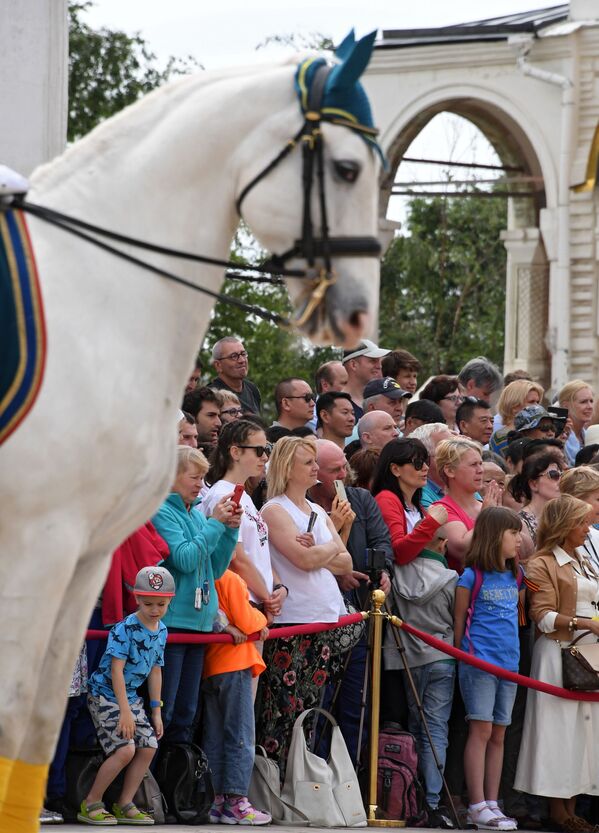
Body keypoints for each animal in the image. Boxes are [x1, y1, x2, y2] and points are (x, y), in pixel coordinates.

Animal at [0, 30, 382, 824]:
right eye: (346, 167)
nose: (359, 311)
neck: (95, 296)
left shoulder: (80, 557)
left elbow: (34, 729)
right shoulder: (34, 546)